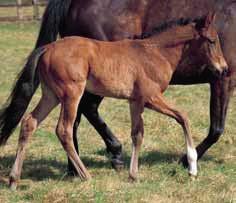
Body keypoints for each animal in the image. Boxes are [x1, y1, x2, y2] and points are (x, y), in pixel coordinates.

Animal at [8, 13, 228, 190]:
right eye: (212, 41)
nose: (224, 69)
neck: (155, 53)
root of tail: (48, 47)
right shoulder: (152, 98)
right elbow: (183, 117)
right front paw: (192, 168)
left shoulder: (135, 102)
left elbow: (137, 134)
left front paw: (134, 175)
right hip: (71, 94)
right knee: (64, 130)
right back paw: (85, 175)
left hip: (51, 96)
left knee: (29, 122)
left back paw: (13, 180)